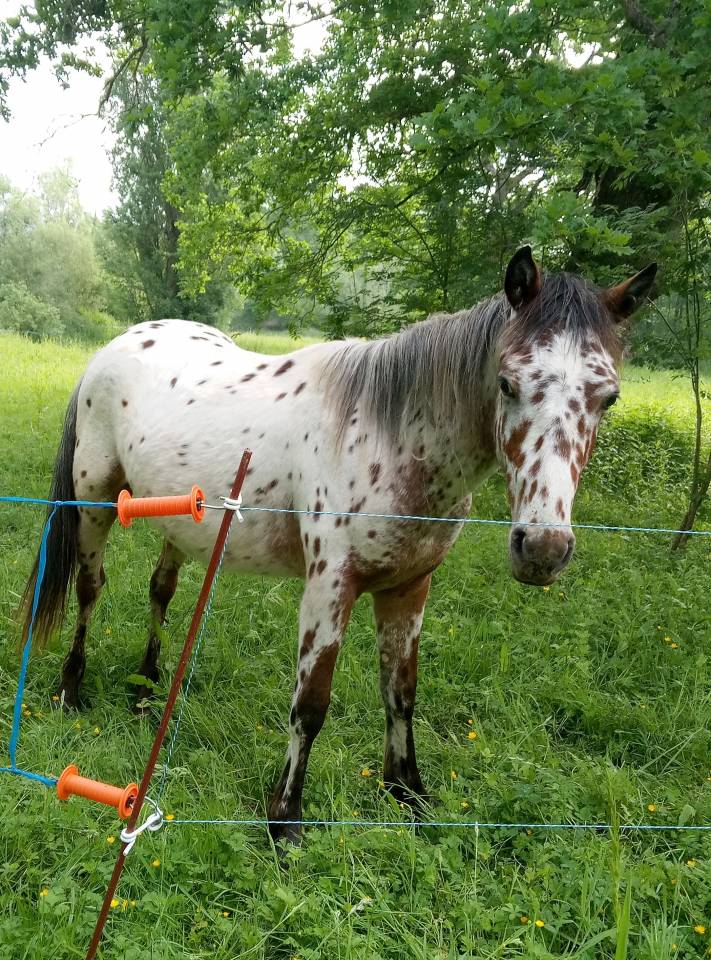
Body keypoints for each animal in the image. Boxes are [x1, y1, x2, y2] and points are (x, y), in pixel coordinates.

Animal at [22, 246, 656, 843]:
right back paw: (72, 689)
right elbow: (310, 705)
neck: (393, 438)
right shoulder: (331, 586)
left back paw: (148, 689)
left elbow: (401, 692)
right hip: (94, 501)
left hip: (181, 519)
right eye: (507, 382)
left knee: (161, 591)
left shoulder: (408, 588)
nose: (542, 549)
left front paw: (407, 794)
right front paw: (284, 821)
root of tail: (113, 347)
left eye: (608, 398)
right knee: (89, 589)